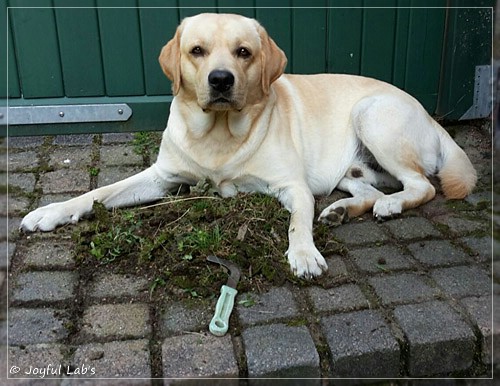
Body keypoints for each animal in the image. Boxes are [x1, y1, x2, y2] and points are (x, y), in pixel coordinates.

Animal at [19, 12, 474, 278]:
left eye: (244, 52)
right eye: (196, 51)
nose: (220, 79)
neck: (218, 134)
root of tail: (429, 114)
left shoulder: (293, 186)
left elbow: (298, 221)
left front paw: (303, 254)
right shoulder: (161, 177)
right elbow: (99, 192)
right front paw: (51, 212)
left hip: (372, 114)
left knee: (422, 186)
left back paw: (390, 205)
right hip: (351, 168)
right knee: (368, 190)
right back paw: (341, 211)